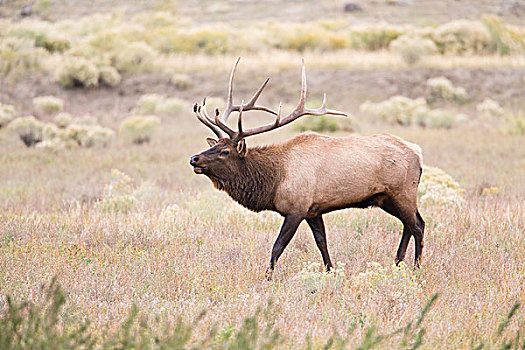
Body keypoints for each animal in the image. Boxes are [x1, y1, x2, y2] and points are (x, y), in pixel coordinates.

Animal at [190, 58, 424, 280]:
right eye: (213, 146)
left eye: (225, 152)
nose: (194, 158)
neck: (274, 180)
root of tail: (418, 153)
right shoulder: (314, 210)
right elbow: (322, 243)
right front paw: (331, 272)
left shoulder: (296, 208)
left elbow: (277, 246)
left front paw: (266, 278)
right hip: (386, 198)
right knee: (408, 225)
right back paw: (398, 263)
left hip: (402, 192)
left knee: (418, 225)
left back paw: (416, 269)